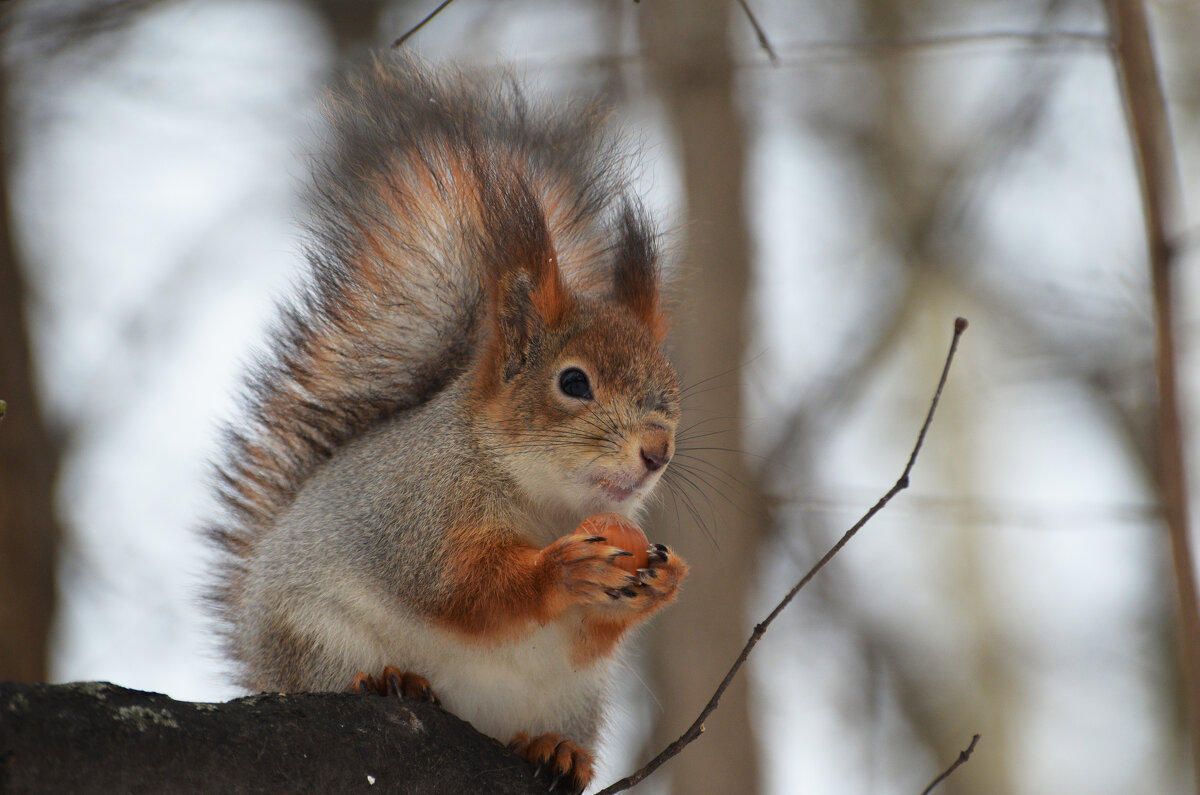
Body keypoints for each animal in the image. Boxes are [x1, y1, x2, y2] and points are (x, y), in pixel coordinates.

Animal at [208, 52, 686, 792]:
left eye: (672, 385)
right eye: (573, 382)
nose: (658, 450)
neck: (546, 502)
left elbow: (586, 633)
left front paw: (660, 581)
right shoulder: (420, 511)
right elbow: (459, 588)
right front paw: (560, 572)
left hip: (576, 699)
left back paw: (555, 748)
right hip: (315, 640)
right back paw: (390, 681)